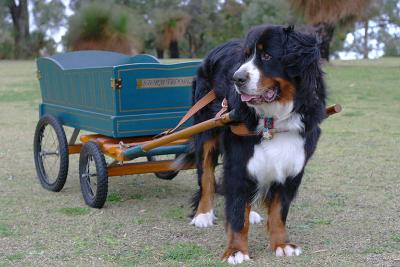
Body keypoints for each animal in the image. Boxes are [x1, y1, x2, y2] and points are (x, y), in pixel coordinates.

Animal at [177, 24, 326, 264]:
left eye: (267, 56)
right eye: (246, 56)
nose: (236, 78)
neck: (273, 120)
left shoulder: (293, 164)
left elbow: (278, 211)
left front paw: (281, 244)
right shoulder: (238, 161)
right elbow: (237, 214)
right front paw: (236, 250)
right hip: (205, 131)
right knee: (206, 176)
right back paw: (203, 214)